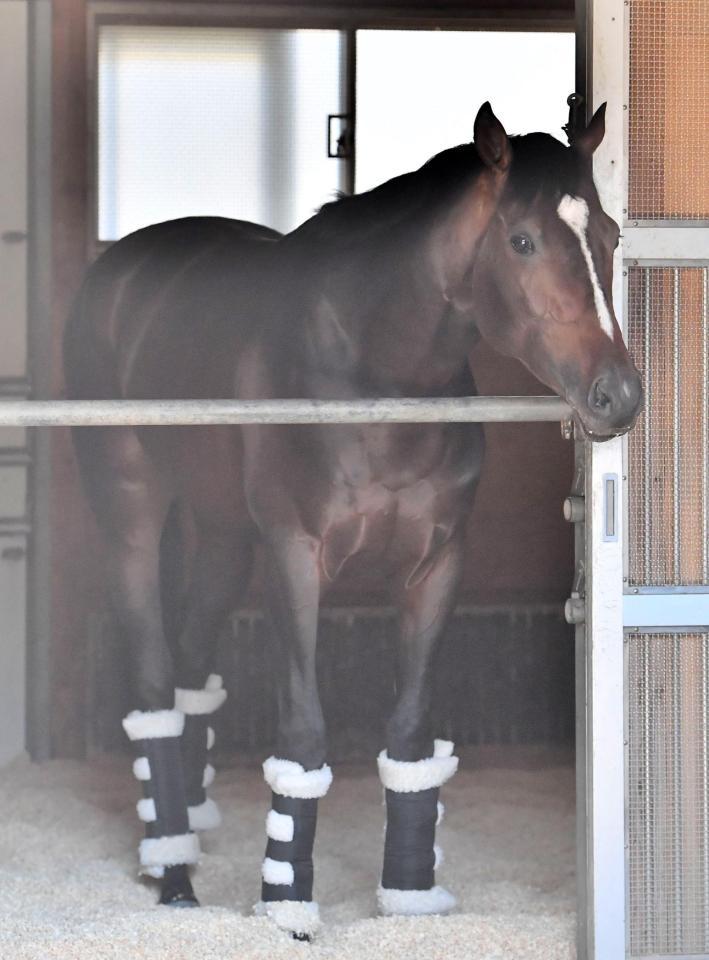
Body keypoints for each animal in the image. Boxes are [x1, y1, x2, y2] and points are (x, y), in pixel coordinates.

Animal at [64, 101, 642, 937]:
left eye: (609, 234)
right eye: (522, 241)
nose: (617, 396)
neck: (372, 370)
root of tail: (119, 272)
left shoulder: (437, 565)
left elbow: (408, 730)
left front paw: (408, 892)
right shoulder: (295, 560)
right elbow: (305, 735)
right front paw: (286, 902)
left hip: (223, 538)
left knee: (189, 667)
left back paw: (183, 833)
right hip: (131, 517)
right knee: (150, 684)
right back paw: (173, 874)